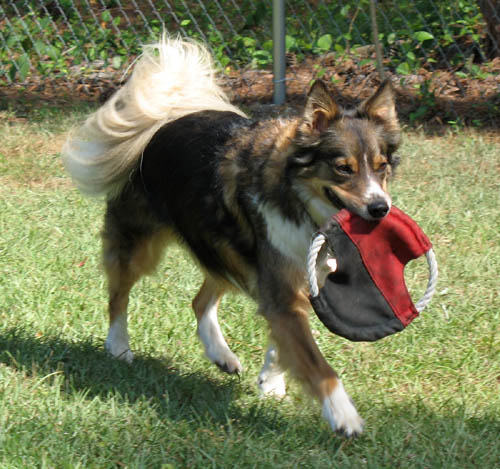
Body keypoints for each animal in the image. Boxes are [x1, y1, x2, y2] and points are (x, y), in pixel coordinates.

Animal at [62, 37, 400, 436]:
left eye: (381, 168)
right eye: (342, 168)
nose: (381, 208)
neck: (297, 196)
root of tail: (162, 122)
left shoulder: (293, 282)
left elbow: (282, 340)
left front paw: (270, 380)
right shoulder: (280, 288)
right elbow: (316, 363)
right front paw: (343, 415)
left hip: (223, 247)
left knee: (200, 301)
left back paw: (220, 354)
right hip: (141, 244)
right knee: (119, 294)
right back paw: (118, 345)